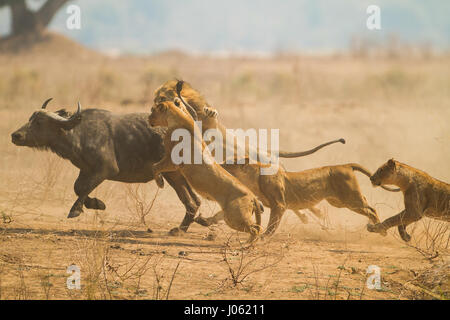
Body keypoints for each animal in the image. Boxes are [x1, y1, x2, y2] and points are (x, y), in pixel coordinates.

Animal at [11, 99, 200, 234]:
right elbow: (78, 187)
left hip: (172, 174)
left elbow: (83, 188)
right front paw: (97, 203)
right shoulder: (85, 170)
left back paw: (179, 230)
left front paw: (76, 210)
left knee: (190, 202)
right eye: (30, 118)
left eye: (39, 122)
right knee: (195, 201)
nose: (15, 135)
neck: (79, 133)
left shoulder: (105, 169)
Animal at [149, 97, 264, 242]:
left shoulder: (173, 161)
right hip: (231, 215)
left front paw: (160, 182)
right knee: (255, 227)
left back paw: (247, 244)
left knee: (256, 228)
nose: (148, 118)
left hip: (234, 217)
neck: (178, 117)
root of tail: (252, 196)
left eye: (152, 110)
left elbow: (155, 167)